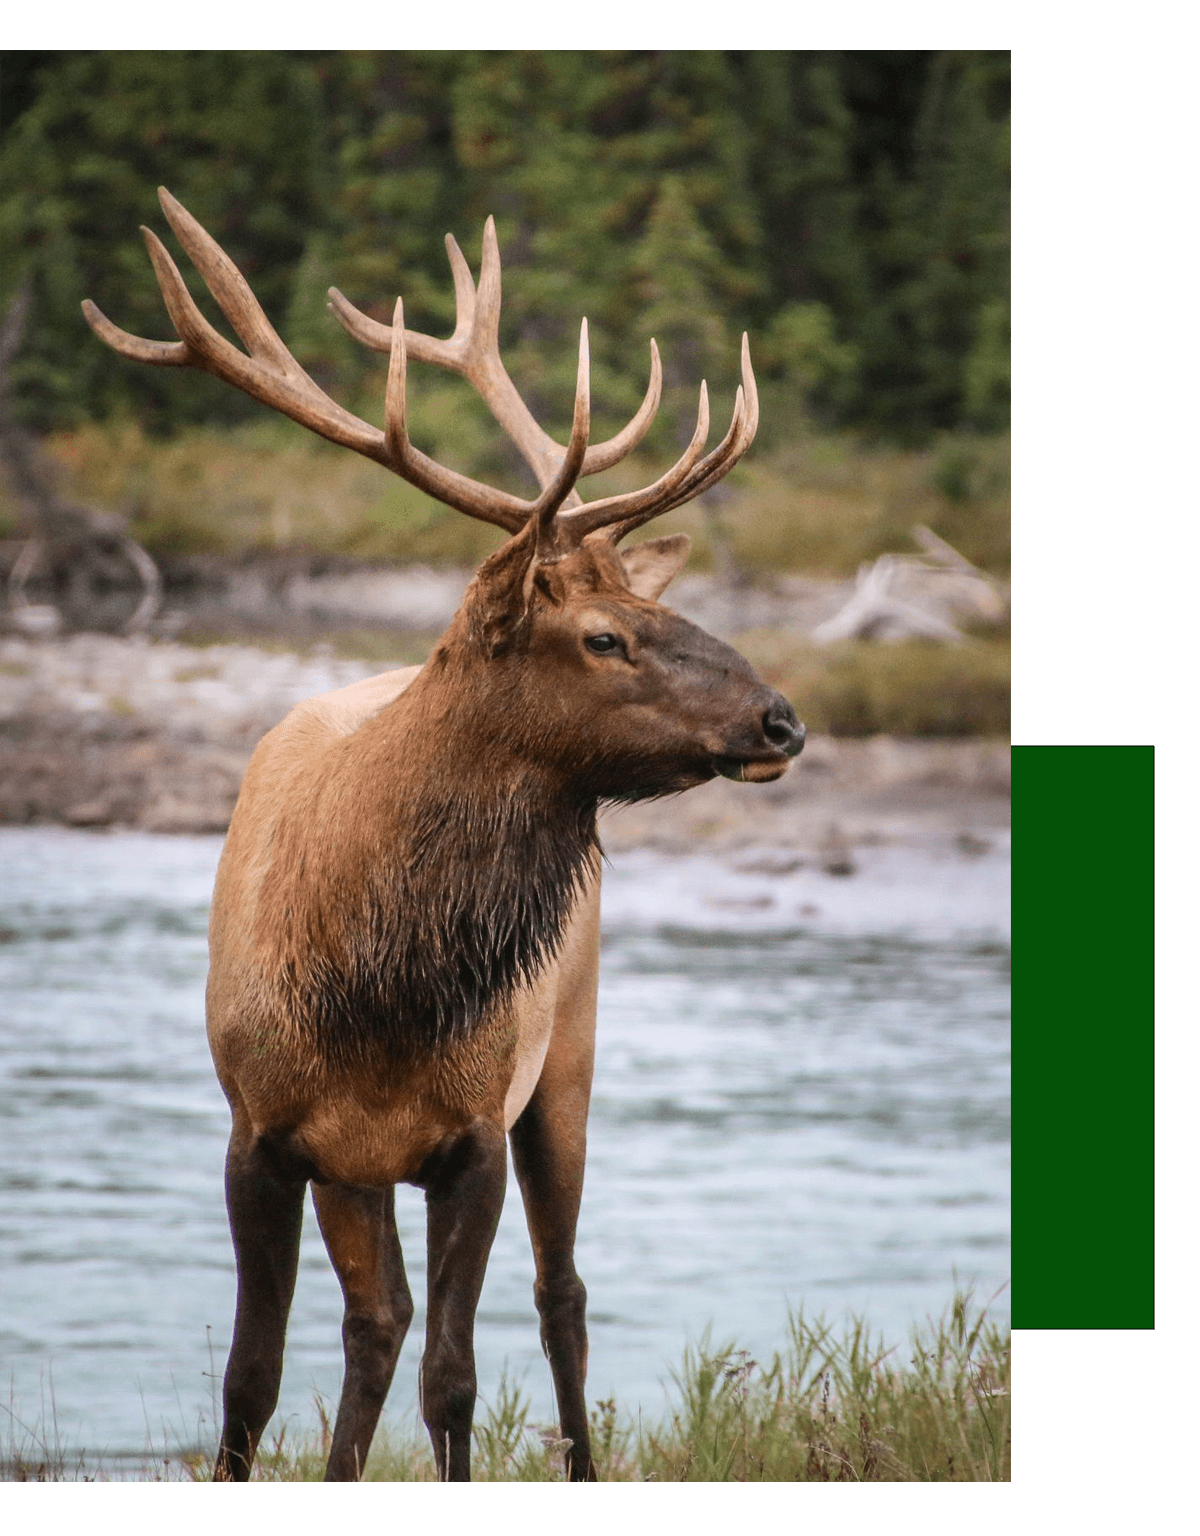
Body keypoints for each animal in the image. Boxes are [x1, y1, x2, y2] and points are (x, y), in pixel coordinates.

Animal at [83, 188, 805, 1483]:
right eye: (606, 636)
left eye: (655, 604)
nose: (782, 718)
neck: (373, 986)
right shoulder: (259, 1134)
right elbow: (250, 1381)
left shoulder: (471, 1137)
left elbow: (456, 1382)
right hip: (362, 1169)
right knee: (378, 1322)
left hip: (565, 1064)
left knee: (560, 1297)